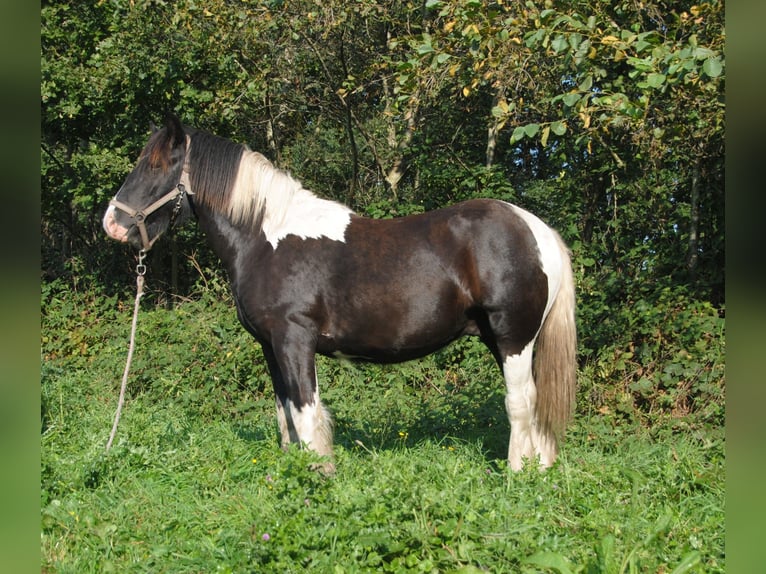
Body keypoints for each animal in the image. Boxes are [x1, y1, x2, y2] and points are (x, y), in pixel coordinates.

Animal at [102, 116, 576, 472]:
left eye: (154, 166)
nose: (111, 223)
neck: (265, 238)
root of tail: (538, 231)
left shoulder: (294, 339)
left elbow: (307, 412)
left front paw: (321, 476)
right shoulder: (270, 346)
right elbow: (285, 415)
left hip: (513, 338)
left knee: (520, 402)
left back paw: (516, 473)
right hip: (502, 340)